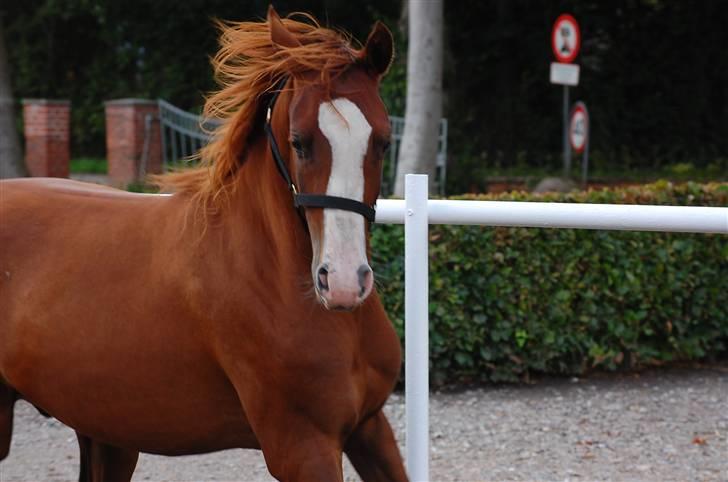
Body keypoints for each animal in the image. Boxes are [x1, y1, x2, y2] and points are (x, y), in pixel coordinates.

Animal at [0, 8, 410, 482]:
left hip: (105, 434)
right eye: (298, 141)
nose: (343, 283)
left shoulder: (370, 426)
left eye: (383, 141)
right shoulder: (304, 446)